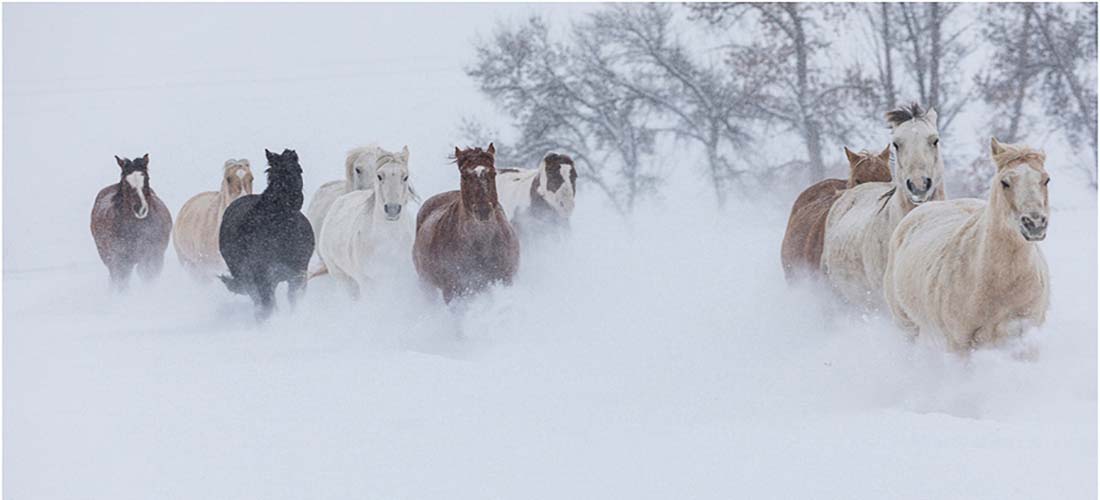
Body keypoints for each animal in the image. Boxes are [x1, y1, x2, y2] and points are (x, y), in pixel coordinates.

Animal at [218, 149, 314, 320]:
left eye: (298, 169)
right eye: (272, 174)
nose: (296, 198)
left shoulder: (298, 274)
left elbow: (293, 300)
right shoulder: (262, 278)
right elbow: (267, 305)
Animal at [316, 146, 418, 298]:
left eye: (405, 177)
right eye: (379, 176)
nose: (392, 209)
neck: (389, 242)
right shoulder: (367, 283)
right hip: (342, 276)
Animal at [413, 143, 520, 304]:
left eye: (493, 173)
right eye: (464, 175)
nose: (483, 210)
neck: (481, 245)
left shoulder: (504, 280)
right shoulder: (453, 290)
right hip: (426, 285)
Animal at [883, 138, 1050, 352]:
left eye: (1046, 180)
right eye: (1005, 182)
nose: (1034, 223)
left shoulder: (1025, 339)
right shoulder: (959, 344)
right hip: (907, 326)